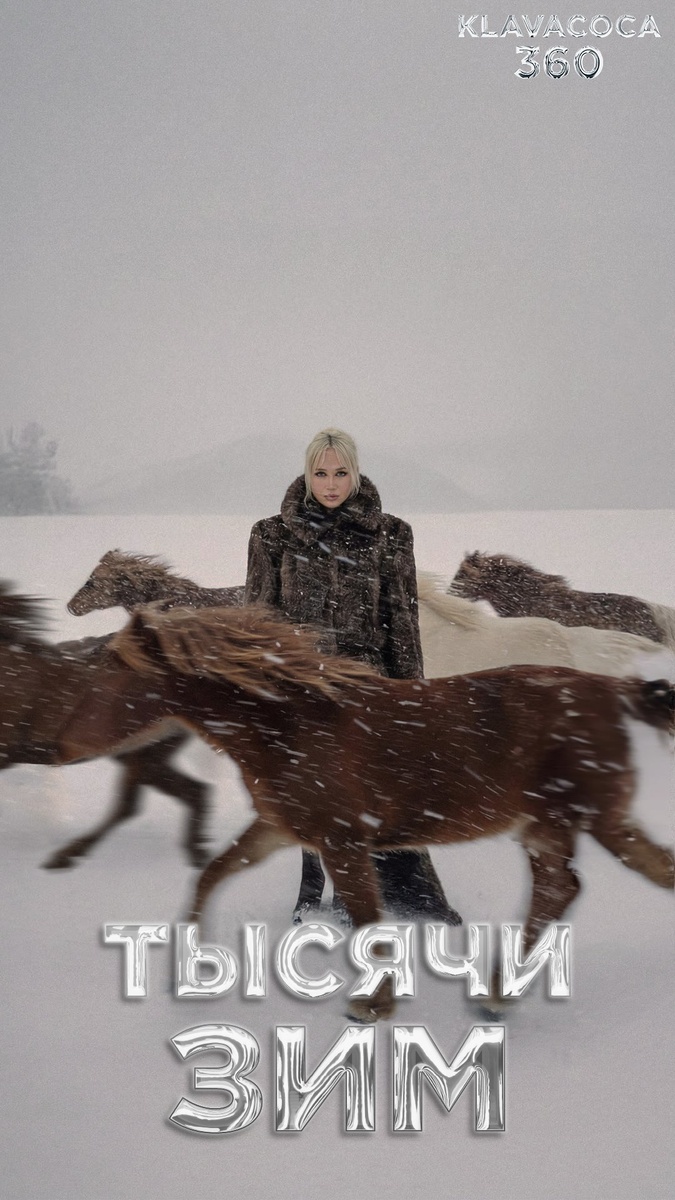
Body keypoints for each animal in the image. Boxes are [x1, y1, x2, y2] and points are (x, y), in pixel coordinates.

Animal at [0, 588, 211, 869]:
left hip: (143, 755)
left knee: (128, 807)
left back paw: (65, 856)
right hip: (144, 755)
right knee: (193, 792)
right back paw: (198, 854)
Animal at [39, 597, 674, 1021]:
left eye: (113, 675)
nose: (58, 747)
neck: (287, 724)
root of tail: (616, 691)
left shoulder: (343, 838)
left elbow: (368, 920)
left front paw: (373, 1005)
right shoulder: (282, 827)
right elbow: (213, 872)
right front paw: (188, 973)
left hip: (572, 819)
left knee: (566, 887)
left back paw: (496, 995)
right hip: (561, 824)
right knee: (597, 881)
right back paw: (500, 993)